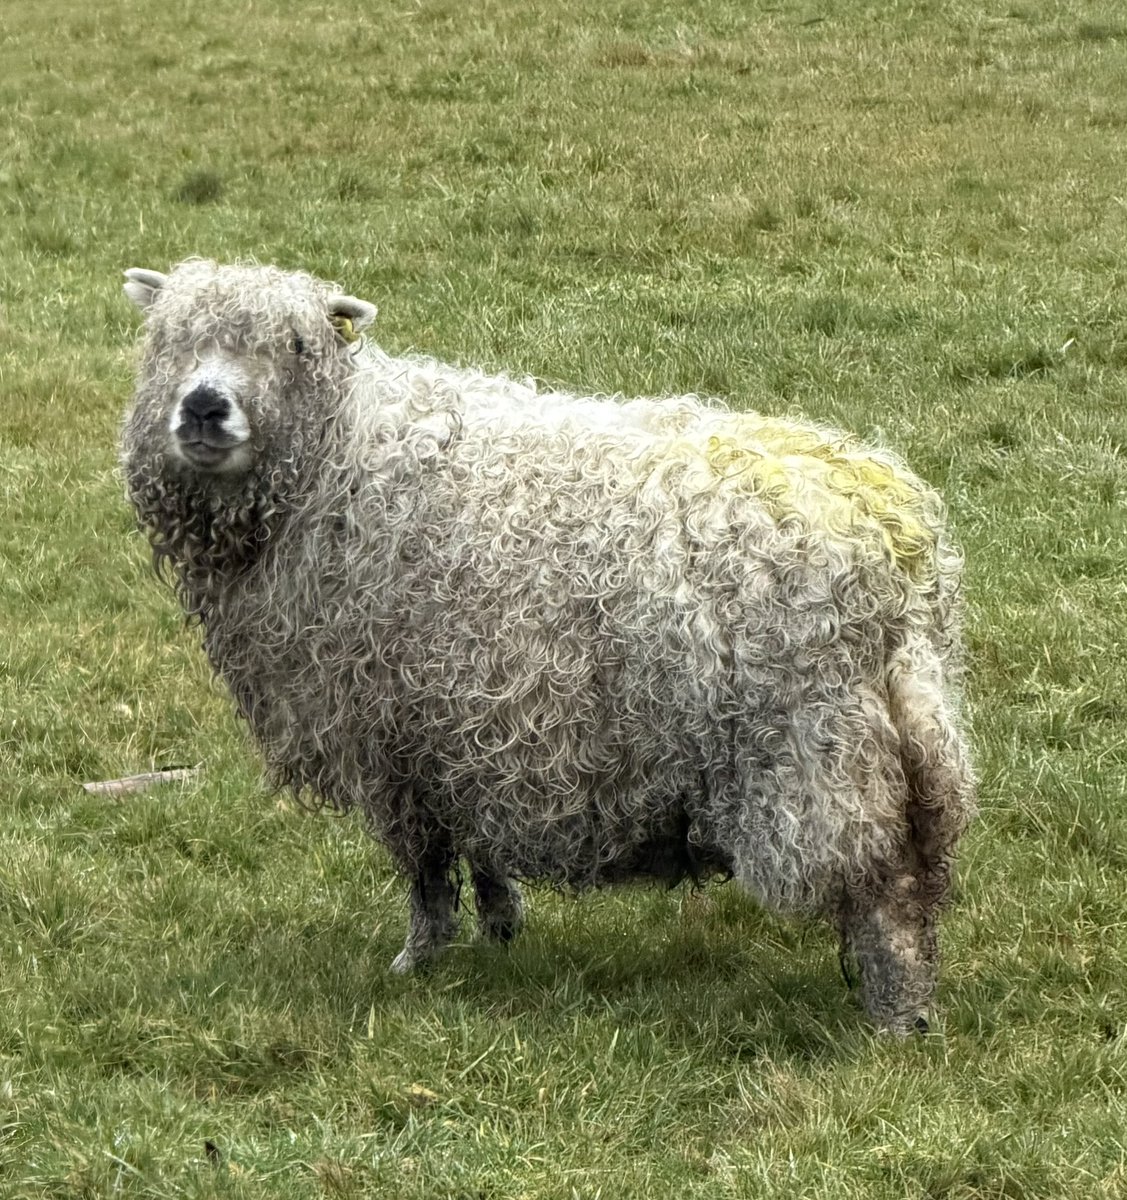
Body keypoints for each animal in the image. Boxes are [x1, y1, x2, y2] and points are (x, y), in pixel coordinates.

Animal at [120, 259, 975, 1034]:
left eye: (297, 345)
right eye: (166, 340)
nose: (204, 408)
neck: (338, 460)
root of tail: (893, 539)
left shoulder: (389, 736)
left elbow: (425, 867)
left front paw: (419, 959)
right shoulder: (469, 725)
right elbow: (477, 841)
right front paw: (500, 931)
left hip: (814, 749)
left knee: (885, 883)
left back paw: (894, 1019)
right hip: (899, 735)